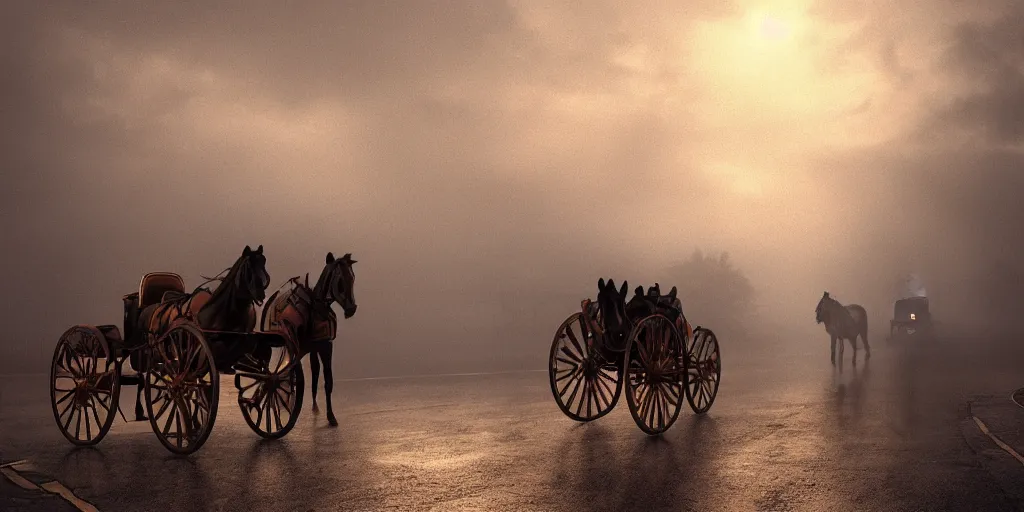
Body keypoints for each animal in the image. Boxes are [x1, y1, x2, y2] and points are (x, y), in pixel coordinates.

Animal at [262, 252, 358, 428]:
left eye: (352, 278)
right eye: (340, 281)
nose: (351, 309)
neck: (318, 309)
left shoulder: (324, 346)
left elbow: (325, 379)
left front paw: (328, 415)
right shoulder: (309, 348)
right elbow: (293, 375)